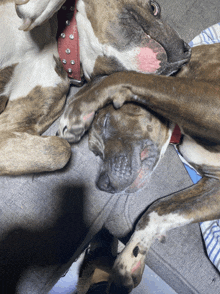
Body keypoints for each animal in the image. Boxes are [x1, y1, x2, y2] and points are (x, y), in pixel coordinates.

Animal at [0, 0, 189, 176]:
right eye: (154, 7)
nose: (187, 50)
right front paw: (38, 7)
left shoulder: (12, 126)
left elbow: (59, 150)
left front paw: (78, 118)